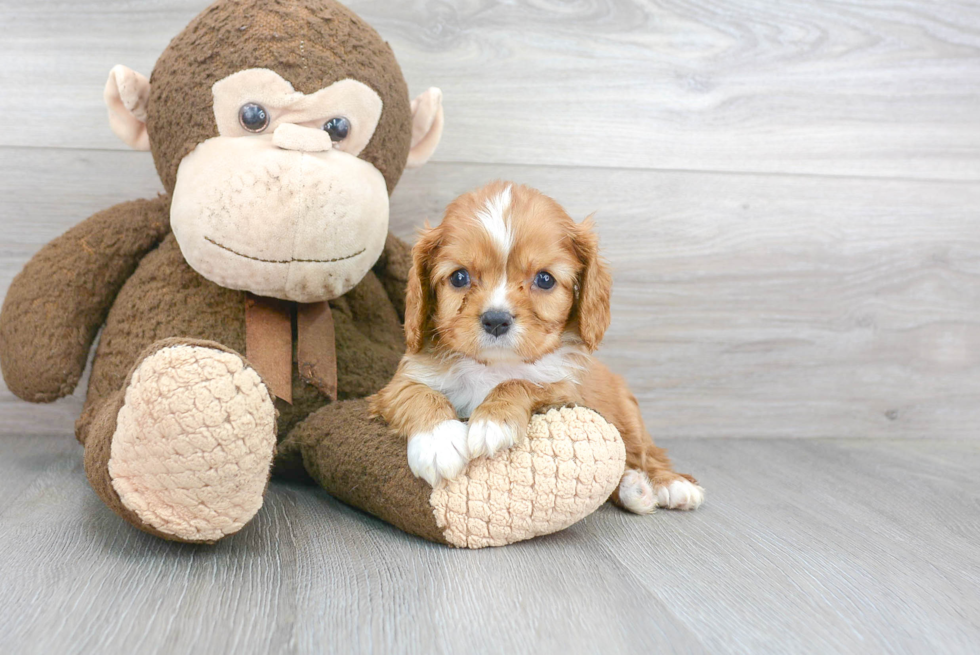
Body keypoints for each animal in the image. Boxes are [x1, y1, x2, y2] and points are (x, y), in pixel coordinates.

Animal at [370, 182, 704, 516]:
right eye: (459, 277)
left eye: (544, 279)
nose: (496, 320)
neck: (493, 366)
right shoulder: (396, 385)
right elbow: (416, 394)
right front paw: (438, 441)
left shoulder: (566, 391)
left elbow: (523, 383)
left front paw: (493, 420)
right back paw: (635, 488)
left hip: (628, 416)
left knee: (645, 452)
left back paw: (669, 484)